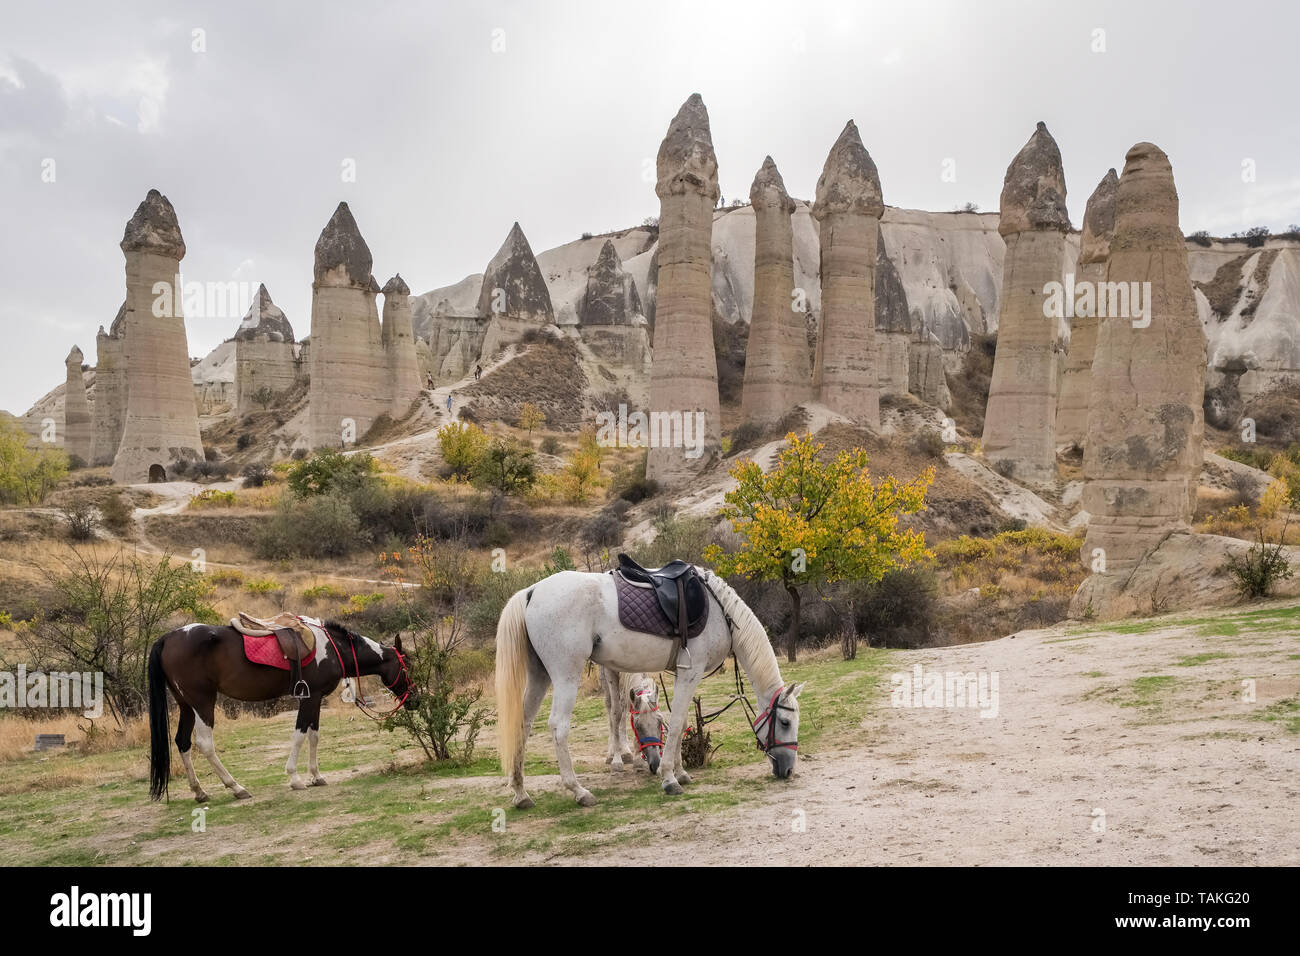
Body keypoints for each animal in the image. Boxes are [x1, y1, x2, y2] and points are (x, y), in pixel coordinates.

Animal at [147, 618, 416, 802]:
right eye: (408, 665)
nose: (414, 699)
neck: (331, 648)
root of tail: (167, 638)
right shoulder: (310, 697)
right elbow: (299, 735)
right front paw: (295, 778)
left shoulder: (316, 699)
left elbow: (314, 736)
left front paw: (316, 776)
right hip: (202, 703)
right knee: (204, 744)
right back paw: (236, 787)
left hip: (186, 705)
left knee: (182, 742)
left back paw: (200, 791)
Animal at [496, 567, 804, 807]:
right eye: (785, 722)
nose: (789, 770)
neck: (721, 612)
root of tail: (532, 591)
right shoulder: (690, 673)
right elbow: (677, 722)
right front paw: (669, 778)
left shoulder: (681, 676)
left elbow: (679, 722)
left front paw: (680, 772)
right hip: (565, 676)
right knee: (558, 727)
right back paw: (579, 791)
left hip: (539, 675)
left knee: (522, 724)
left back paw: (520, 792)